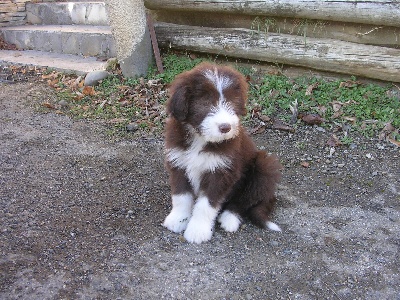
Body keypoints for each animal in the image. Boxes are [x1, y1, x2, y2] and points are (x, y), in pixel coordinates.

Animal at [162, 62, 282, 243]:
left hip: (263, 168)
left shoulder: (220, 172)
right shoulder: (178, 163)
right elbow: (181, 196)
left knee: (243, 201)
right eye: (205, 102)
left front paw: (198, 230)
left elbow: (206, 205)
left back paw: (229, 219)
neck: (200, 139)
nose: (226, 127)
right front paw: (178, 219)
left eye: (232, 100)